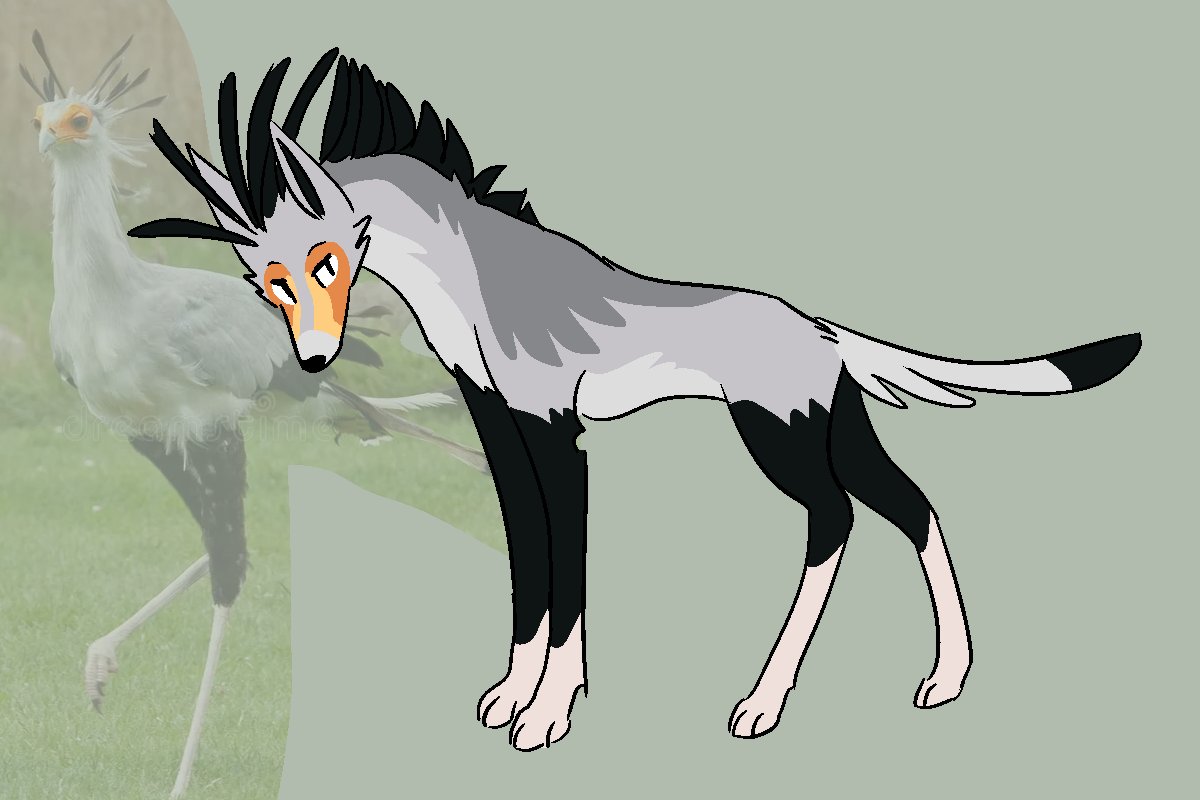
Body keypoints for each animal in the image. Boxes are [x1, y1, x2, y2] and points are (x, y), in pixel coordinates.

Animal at [131, 49, 1141, 751]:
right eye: (266, 281)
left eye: (326, 260)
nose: (313, 357)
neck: (474, 277)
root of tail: (820, 332)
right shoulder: (499, 427)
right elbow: (528, 561)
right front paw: (512, 696)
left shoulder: (555, 431)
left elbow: (566, 567)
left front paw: (547, 716)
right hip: (827, 424)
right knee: (909, 503)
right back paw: (947, 678)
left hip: (777, 433)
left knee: (836, 520)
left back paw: (764, 702)